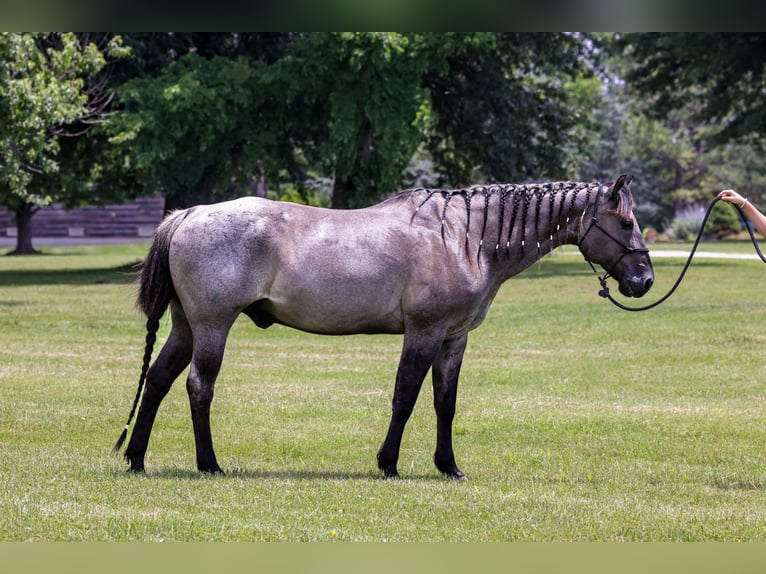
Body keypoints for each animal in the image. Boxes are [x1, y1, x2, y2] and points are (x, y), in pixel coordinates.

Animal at [113, 174, 654, 479]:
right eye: (626, 224)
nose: (644, 279)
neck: (465, 237)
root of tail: (188, 214)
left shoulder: (453, 339)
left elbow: (444, 403)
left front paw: (448, 466)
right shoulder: (424, 332)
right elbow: (405, 397)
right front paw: (388, 463)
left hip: (186, 327)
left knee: (158, 381)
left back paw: (137, 458)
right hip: (211, 327)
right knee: (198, 387)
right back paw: (209, 463)